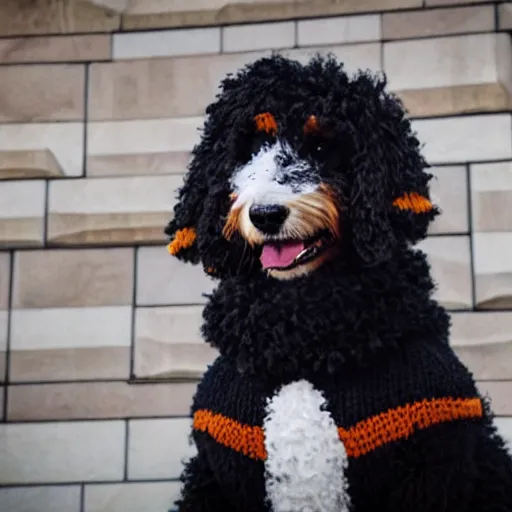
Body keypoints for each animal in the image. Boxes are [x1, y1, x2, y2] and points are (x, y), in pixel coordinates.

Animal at [165, 54, 512, 510]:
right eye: (250, 149)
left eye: (319, 148)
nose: (266, 214)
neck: (301, 350)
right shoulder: (218, 469)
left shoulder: (433, 459)